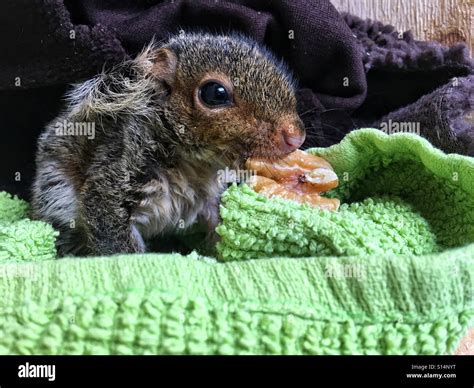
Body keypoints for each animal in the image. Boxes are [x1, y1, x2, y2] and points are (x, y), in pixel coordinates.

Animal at [34, 32, 308, 258]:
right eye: (215, 93)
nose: (295, 137)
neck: (195, 165)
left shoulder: (211, 197)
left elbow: (218, 222)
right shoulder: (114, 175)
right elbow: (112, 234)